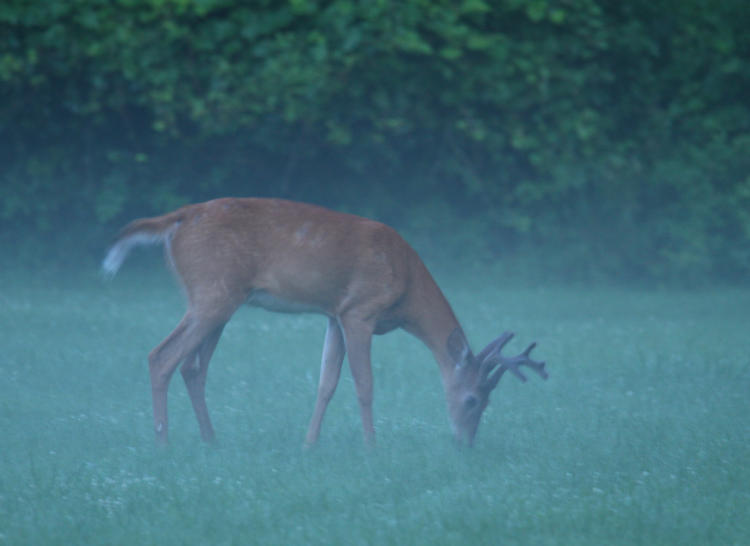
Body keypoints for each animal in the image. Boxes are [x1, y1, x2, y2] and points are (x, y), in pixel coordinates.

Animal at [103, 198, 548, 444]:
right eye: (473, 399)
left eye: (488, 401)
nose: (465, 444)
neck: (406, 286)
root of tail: (177, 219)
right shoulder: (360, 311)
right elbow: (364, 385)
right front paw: (372, 448)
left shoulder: (334, 316)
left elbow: (326, 383)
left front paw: (309, 446)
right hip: (213, 294)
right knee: (161, 357)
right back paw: (164, 445)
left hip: (220, 301)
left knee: (193, 368)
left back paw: (212, 443)